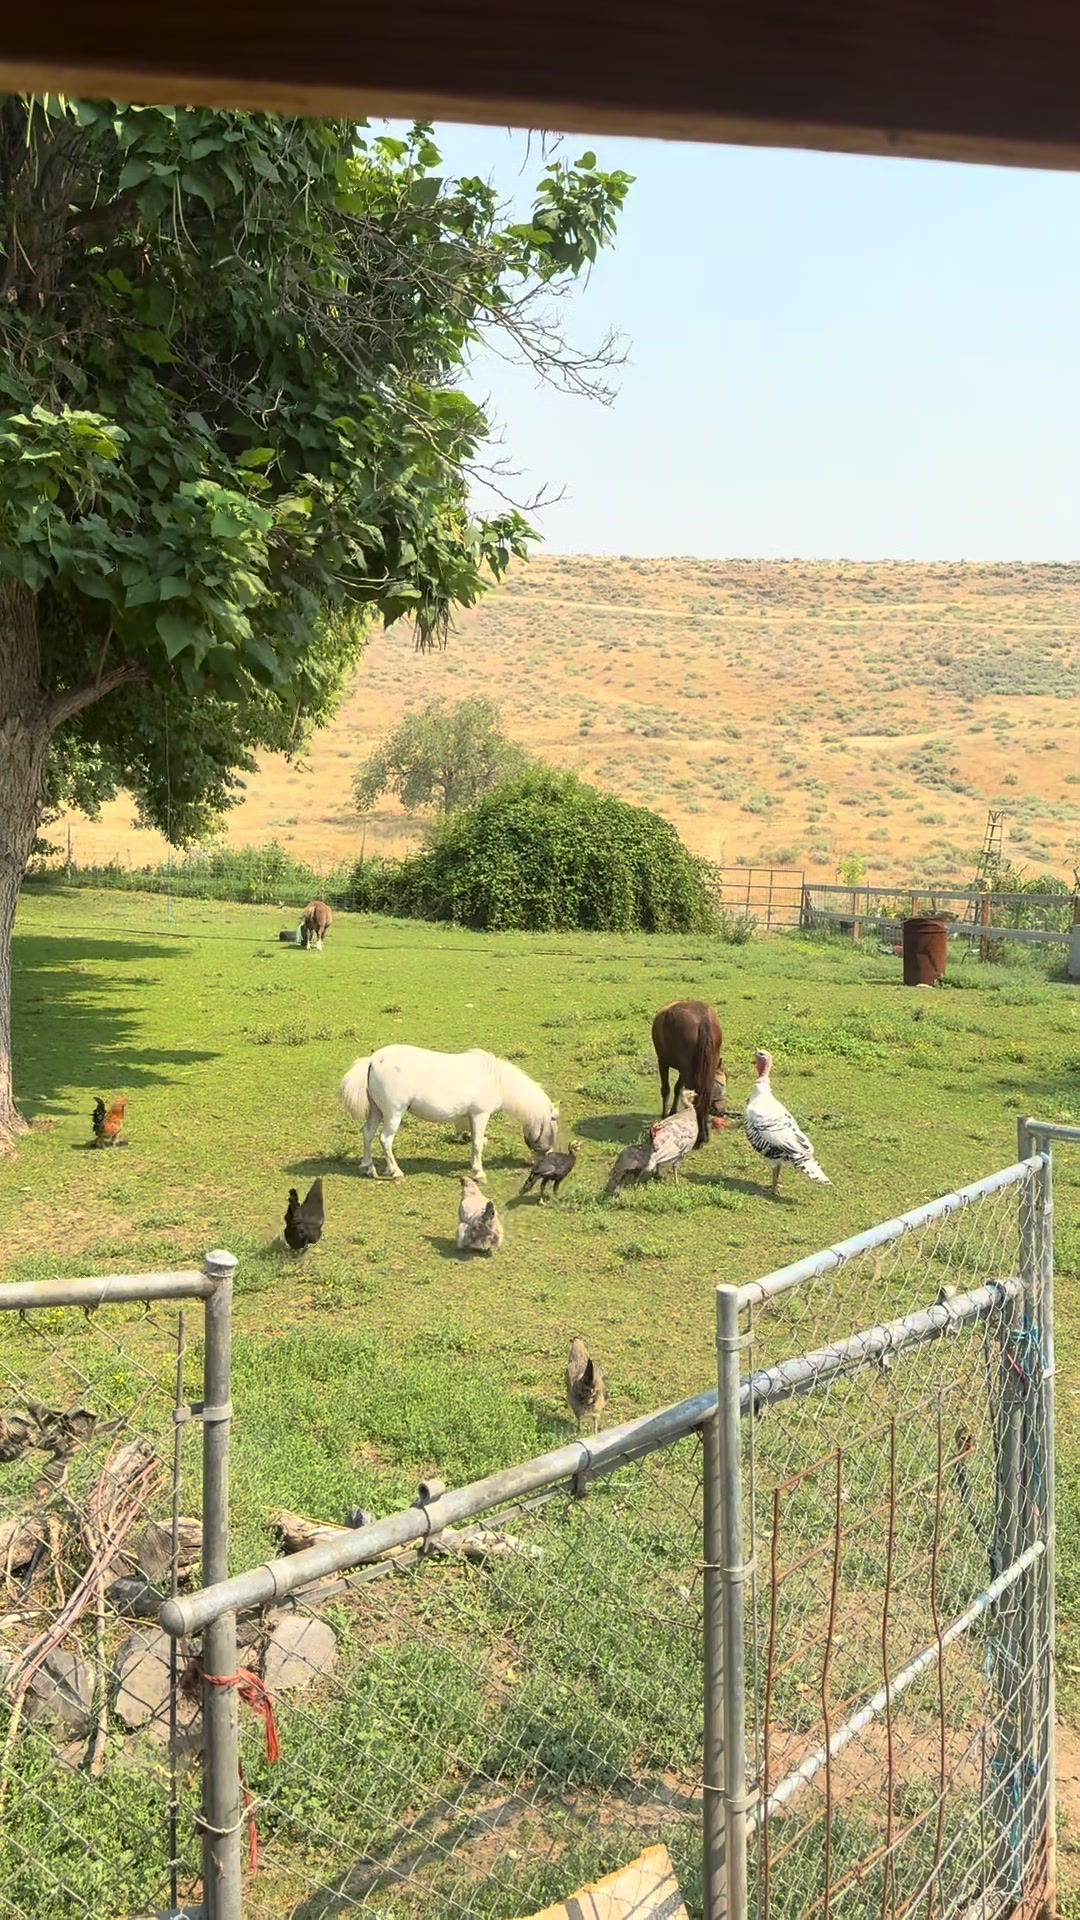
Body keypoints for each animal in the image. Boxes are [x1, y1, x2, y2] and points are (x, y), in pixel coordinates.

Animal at [340, 1045, 559, 1182]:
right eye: (554, 1121)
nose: (548, 1155)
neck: (495, 1080)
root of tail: (373, 1060)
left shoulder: (468, 1117)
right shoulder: (480, 1115)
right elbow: (477, 1144)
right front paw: (479, 1174)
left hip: (377, 1111)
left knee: (367, 1134)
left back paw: (369, 1168)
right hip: (393, 1113)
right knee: (385, 1140)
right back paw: (395, 1172)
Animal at [651, 999, 724, 1148]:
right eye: (720, 1086)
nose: (721, 1111)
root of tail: (703, 1019)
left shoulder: (663, 1062)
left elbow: (666, 1089)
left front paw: (665, 1114)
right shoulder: (683, 1070)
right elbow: (678, 1088)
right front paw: (672, 1111)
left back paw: (699, 1137)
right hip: (705, 1069)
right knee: (703, 1100)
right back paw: (704, 1135)